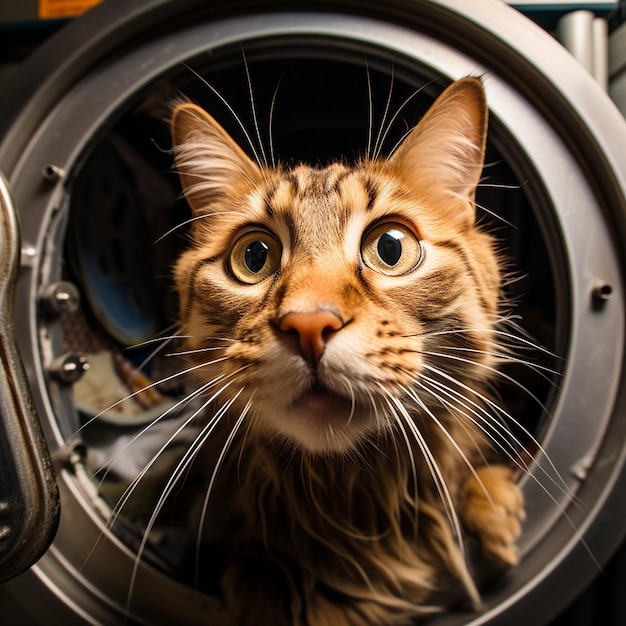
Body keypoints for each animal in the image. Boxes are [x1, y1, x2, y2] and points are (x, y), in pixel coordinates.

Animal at [168, 78, 524, 624]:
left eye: (391, 248)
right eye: (253, 256)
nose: (309, 324)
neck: (350, 496)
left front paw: (489, 500)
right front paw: (267, 585)